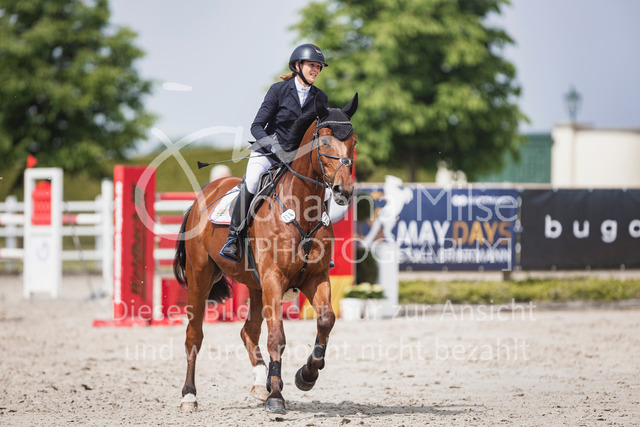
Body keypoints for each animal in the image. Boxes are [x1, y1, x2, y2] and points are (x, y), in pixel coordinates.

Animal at [172, 93, 358, 414]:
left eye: (354, 142)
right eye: (323, 142)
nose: (343, 191)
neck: (301, 208)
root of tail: (200, 198)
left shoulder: (316, 277)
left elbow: (325, 320)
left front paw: (305, 375)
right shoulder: (274, 278)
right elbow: (277, 338)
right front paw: (277, 397)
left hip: (255, 286)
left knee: (248, 331)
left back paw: (261, 384)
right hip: (201, 276)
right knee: (194, 335)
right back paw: (190, 396)